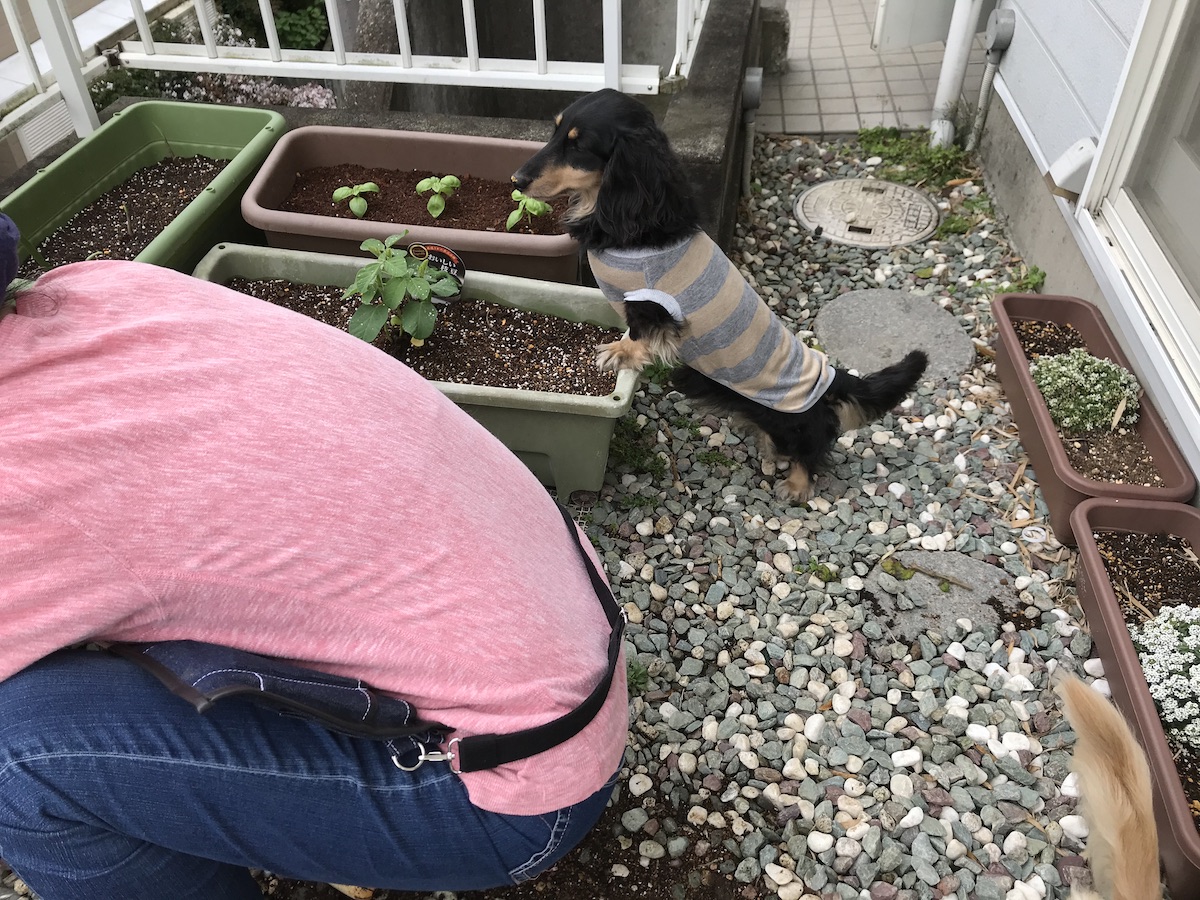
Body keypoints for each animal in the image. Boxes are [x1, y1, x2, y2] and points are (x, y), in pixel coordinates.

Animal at [512, 88, 927, 501]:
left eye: (579, 145)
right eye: (555, 130)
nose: (516, 179)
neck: (638, 216)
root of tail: (831, 378)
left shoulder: (651, 305)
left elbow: (640, 335)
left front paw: (620, 352)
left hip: (791, 419)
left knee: (816, 440)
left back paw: (797, 483)